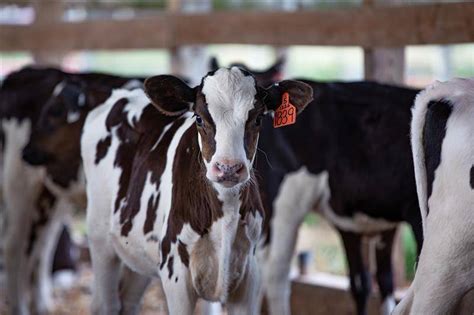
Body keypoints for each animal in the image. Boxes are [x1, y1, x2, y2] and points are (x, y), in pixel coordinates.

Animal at [80, 68, 312, 314]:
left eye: (258, 118)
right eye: (199, 118)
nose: (228, 167)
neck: (225, 216)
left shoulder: (249, 276)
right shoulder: (175, 274)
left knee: (129, 301)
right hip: (100, 238)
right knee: (104, 304)